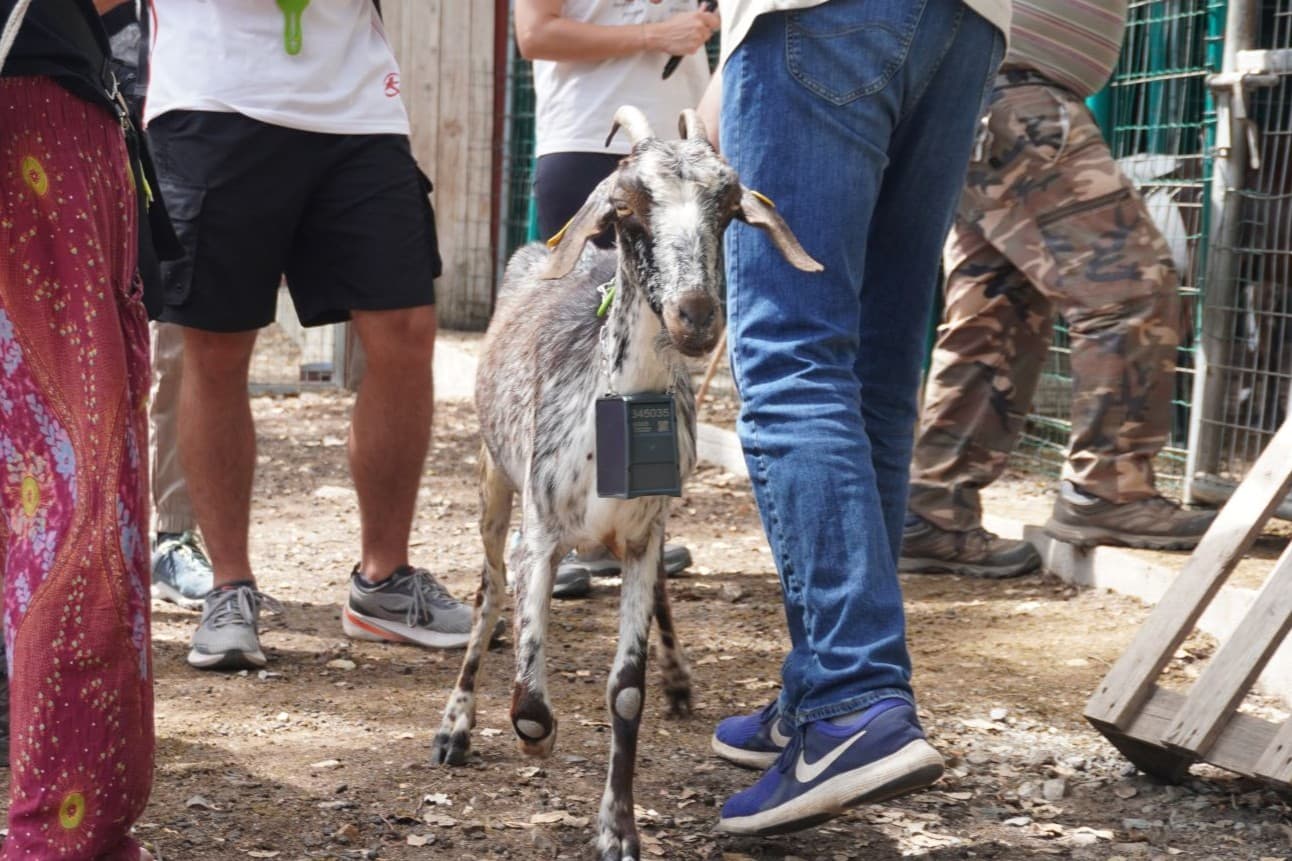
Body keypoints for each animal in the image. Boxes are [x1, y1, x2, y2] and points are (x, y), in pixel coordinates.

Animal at [431, 106, 821, 861]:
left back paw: (678, 678)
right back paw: (455, 725)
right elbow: (529, 694)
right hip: (493, 476)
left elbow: (626, 692)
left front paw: (618, 829)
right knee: (489, 587)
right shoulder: (541, 533)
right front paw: (533, 737)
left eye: (729, 206)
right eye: (626, 205)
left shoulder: (644, 535)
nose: (696, 315)